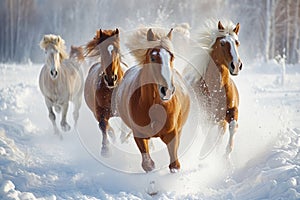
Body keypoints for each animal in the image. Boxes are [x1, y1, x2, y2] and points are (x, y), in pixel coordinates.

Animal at [83, 28, 124, 157]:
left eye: (116, 49)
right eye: (101, 50)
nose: (111, 78)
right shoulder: (100, 112)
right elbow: (103, 126)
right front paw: (105, 150)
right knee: (107, 127)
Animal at [114, 27, 190, 173]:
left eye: (171, 57)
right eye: (153, 57)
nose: (167, 90)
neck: (153, 105)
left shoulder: (172, 134)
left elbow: (174, 164)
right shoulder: (139, 134)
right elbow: (148, 164)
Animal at [184, 19, 243, 158]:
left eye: (237, 42)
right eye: (222, 43)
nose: (236, 65)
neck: (217, 89)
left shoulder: (232, 111)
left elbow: (233, 126)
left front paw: (227, 154)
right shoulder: (208, 118)